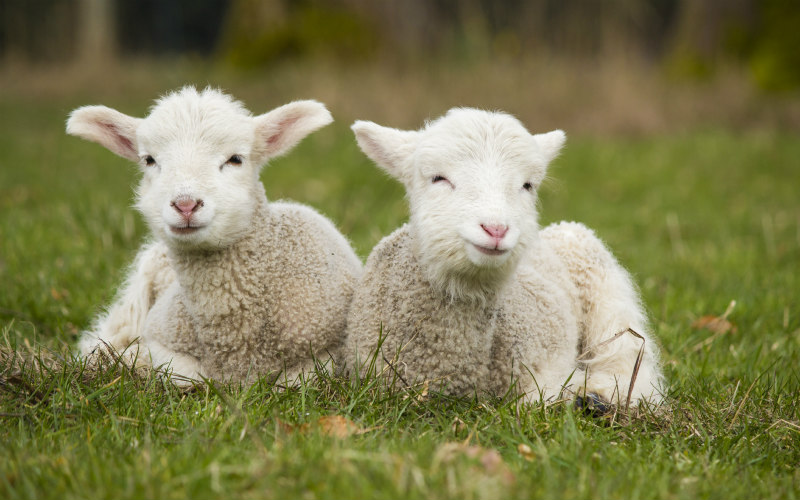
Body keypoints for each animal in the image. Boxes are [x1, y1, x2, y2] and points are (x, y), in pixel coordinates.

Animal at [69, 87, 362, 382]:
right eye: (149, 160)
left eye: (236, 159)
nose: (186, 205)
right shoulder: (161, 341)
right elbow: (186, 373)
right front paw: (135, 361)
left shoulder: (328, 352)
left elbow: (293, 381)